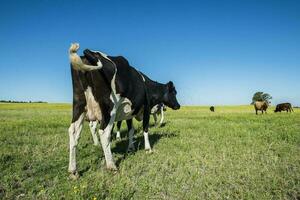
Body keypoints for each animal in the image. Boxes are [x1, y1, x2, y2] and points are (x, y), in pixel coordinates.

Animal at [68, 43, 180, 178]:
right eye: (174, 92)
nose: (178, 105)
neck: (147, 85)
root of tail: (91, 53)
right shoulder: (146, 108)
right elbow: (145, 129)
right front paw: (148, 149)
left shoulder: (129, 111)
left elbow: (131, 130)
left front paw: (130, 148)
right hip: (109, 108)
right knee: (104, 133)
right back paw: (112, 166)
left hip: (79, 104)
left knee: (73, 132)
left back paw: (73, 171)